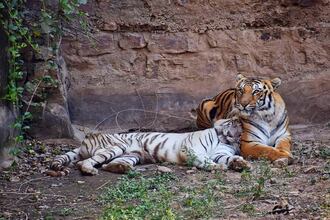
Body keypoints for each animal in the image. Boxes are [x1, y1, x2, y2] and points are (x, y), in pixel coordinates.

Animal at [47, 117, 250, 177]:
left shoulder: (222, 152)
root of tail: (84, 140)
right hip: (116, 146)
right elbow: (204, 159)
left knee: (107, 165)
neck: (222, 139)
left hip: (131, 155)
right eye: (233, 122)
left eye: (240, 128)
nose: (240, 124)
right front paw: (217, 167)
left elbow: (228, 157)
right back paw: (90, 170)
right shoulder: (190, 148)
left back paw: (122, 168)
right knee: (85, 162)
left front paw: (241, 163)